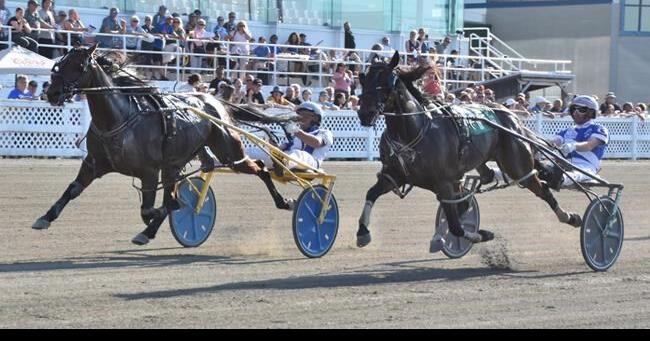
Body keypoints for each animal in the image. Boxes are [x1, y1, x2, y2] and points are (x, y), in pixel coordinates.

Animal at [31, 44, 292, 244]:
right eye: (60, 64)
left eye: (79, 65)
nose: (52, 93)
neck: (118, 117)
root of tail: (214, 101)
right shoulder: (94, 164)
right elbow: (72, 189)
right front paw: (45, 217)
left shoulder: (149, 171)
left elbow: (150, 208)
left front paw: (159, 214)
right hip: (177, 163)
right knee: (180, 186)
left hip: (230, 153)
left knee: (260, 167)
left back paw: (283, 201)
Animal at [354, 51, 584, 251]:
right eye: (363, 80)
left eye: (384, 83)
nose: (364, 114)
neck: (413, 131)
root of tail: (512, 117)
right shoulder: (394, 175)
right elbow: (371, 193)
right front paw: (363, 233)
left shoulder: (444, 184)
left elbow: (456, 226)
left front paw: (481, 234)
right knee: (488, 176)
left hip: (519, 167)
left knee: (542, 188)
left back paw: (570, 217)